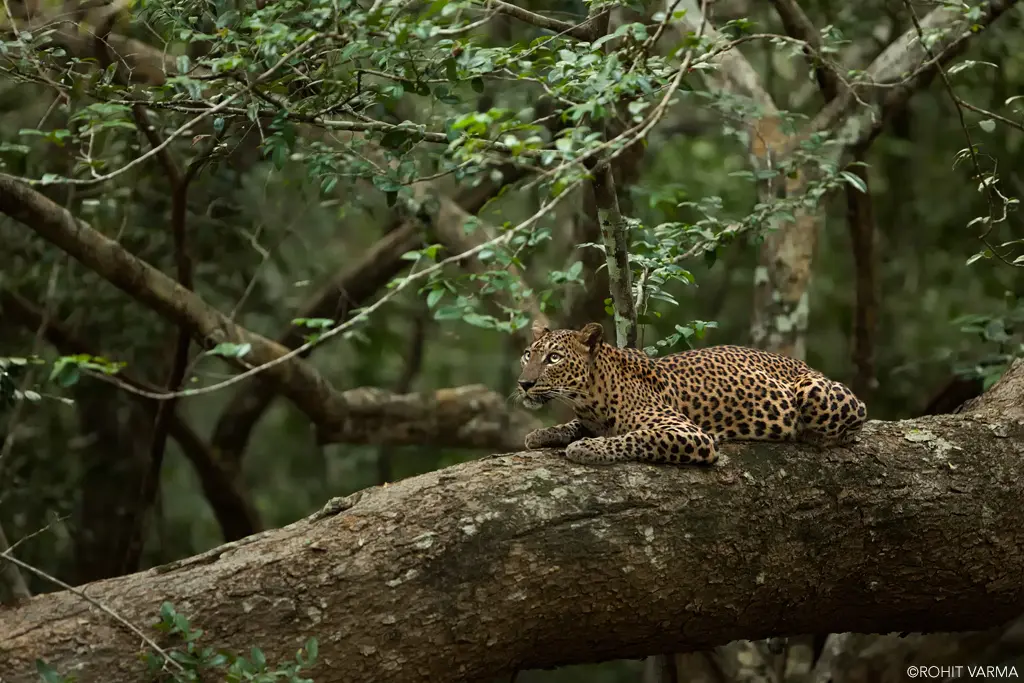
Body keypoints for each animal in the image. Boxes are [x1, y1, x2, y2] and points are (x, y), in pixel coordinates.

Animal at [516, 320, 868, 466]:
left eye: (554, 358)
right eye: (527, 354)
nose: (523, 384)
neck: (588, 399)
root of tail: (804, 364)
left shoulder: (690, 433)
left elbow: (637, 437)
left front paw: (588, 448)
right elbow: (573, 426)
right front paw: (543, 434)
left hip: (813, 392)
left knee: (856, 419)